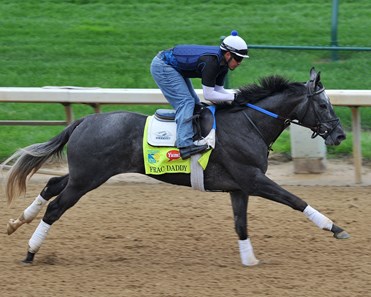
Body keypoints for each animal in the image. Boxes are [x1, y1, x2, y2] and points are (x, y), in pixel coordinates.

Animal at [3, 68, 348, 264]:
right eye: (322, 105)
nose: (340, 135)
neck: (248, 123)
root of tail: (85, 121)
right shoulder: (252, 179)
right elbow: (296, 200)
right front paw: (336, 228)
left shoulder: (239, 187)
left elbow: (241, 224)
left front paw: (249, 260)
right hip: (87, 178)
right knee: (55, 208)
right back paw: (31, 252)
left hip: (83, 174)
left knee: (51, 186)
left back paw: (17, 223)